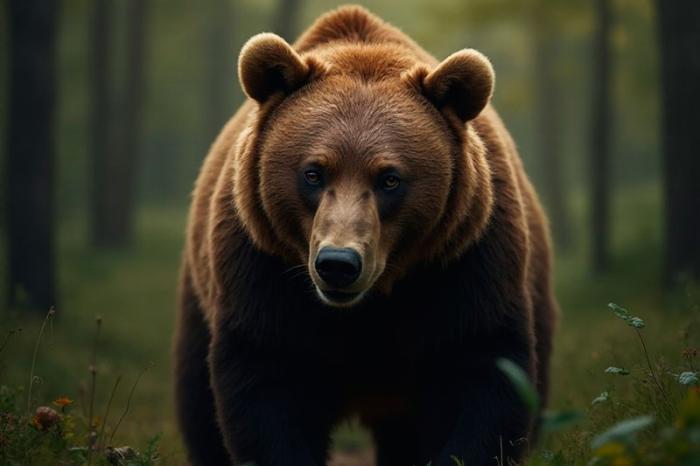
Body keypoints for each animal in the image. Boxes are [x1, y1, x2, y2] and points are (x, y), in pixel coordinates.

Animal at [174, 5, 559, 466]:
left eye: (390, 179)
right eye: (313, 172)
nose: (338, 264)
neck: (369, 306)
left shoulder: (465, 265)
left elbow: (481, 376)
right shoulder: (262, 270)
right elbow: (266, 383)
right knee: (198, 404)